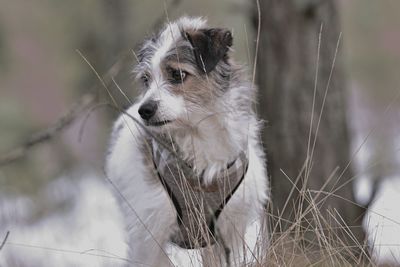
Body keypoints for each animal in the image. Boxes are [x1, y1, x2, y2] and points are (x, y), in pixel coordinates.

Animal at [106, 17, 268, 267]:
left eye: (177, 74)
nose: (145, 111)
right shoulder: (149, 235)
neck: (199, 138)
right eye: (146, 79)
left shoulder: (232, 230)